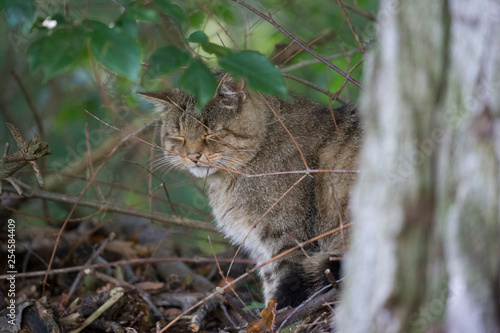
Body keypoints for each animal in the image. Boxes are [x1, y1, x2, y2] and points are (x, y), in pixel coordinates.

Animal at [139, 74, 362, 308]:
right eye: (178, 136)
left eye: (210, 133)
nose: (192, 156)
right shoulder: (261, 247)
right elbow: (269, 283)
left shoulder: (288, 237)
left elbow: (281, 284)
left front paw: (277, 314)